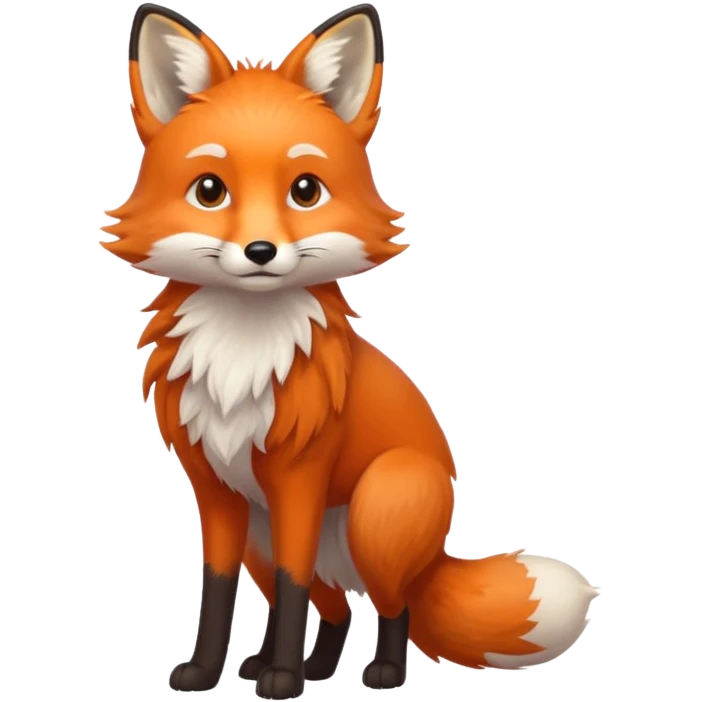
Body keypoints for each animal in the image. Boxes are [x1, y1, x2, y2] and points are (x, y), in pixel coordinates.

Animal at [101, 2, 599, 698]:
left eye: (305, 190)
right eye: (210, 190)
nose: (260, 252)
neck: (242, 352)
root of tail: (436, 548)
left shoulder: (299, 481)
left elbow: (293, 585)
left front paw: (282, 680)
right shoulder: (218, 493)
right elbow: (221, 591)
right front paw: (207, 671)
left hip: (375, 514)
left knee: (391, 604)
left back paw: (379, 671)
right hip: (264, 535)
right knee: (333, 605)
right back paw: (302, 665)